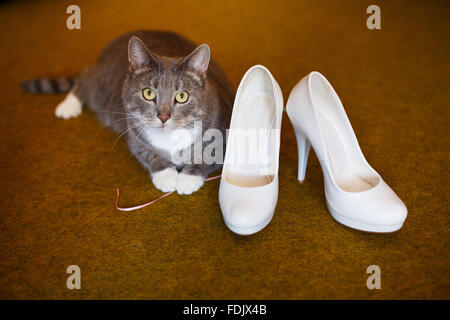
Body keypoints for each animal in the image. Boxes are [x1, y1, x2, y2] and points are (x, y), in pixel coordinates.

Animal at [22, 30, 232, 195]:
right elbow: (148, 154)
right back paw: (68, 106)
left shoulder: (224, 135)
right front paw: (166, 176)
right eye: (148, 93)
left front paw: (187, 179)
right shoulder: (134, 135)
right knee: (86, 76)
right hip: (101, 87)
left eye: (182, 96)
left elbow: (207, 157)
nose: (163, 116)